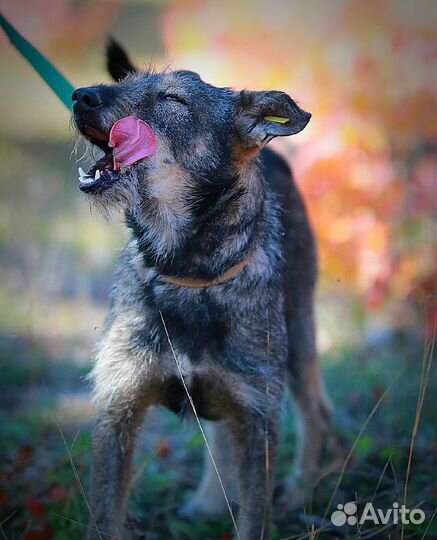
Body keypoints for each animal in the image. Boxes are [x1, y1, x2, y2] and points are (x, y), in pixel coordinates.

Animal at [71, 41, 330, 540]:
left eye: (172, 100)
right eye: (125, 82)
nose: (80, 96)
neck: (190, 272)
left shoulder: (258, 414)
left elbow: (254, 516)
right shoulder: (118, 405)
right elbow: (106, 512)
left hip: (300, 333)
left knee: (317, 412)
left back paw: (301, 493)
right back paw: (209, 502)